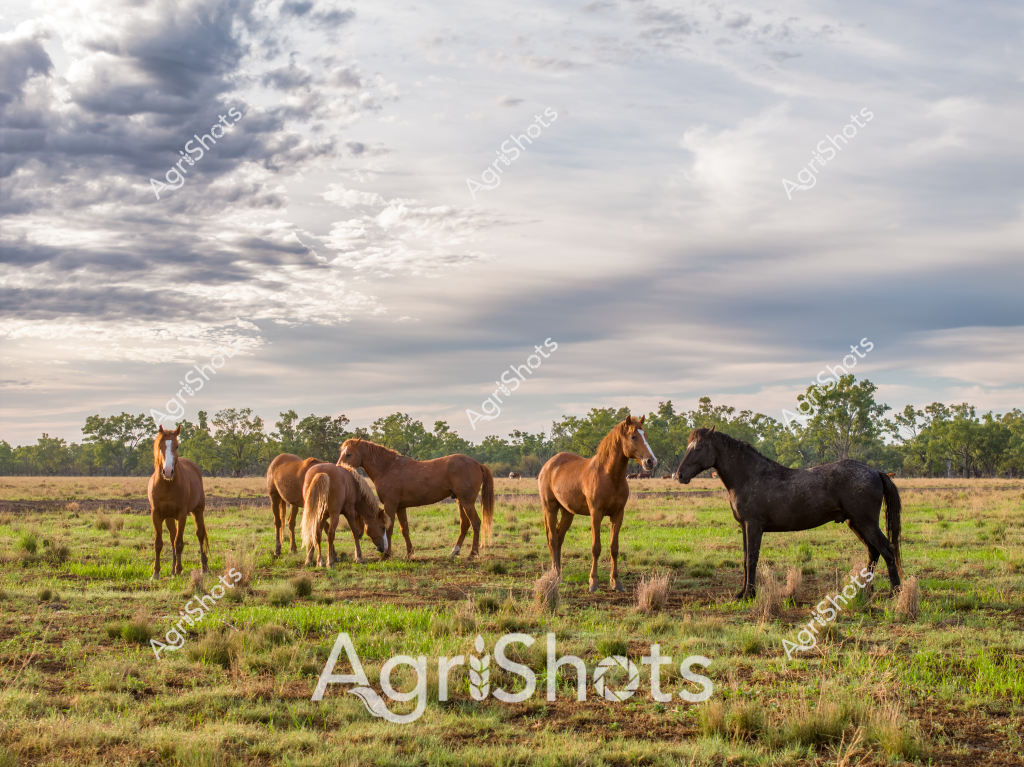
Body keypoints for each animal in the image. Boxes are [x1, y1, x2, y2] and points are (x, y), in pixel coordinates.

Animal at [147, 426, 209, 579]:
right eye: (160, 446)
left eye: (176, 446)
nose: (168, 471)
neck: (167, 485)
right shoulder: (156, 515)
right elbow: (159, 543)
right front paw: (156, 572)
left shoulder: (182, 515)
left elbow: (179, 542)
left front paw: (179, 569)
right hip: (169, 517)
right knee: (172, 537)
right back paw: (172, 570)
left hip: (198, 511)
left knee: (200, 535)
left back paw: (204, 567)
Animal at [337, 439, 494, 559]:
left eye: (348, 454)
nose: (339, 468)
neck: (387, 468)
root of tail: (477, 464)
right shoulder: (400, 507)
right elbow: (404, 530)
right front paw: (409, 554)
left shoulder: (390, 505)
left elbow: (390, 529)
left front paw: (387, 555)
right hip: (460, 501)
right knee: (465, 524)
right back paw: (454, 552)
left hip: (467, 502)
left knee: (476, 523)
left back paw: (472, 554)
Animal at [538, 415, 657, 592]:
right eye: (633, 437)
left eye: (646, 436)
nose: (651, 461)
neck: (609, 476)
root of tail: (548, 465)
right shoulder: (596, 514)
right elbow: (596, 548)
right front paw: (593, 582)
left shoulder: (618, 515)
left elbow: (614, 548)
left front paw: (616, 582)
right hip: (550, 509)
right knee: (553, 539)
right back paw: (554, 576)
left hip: (568, 512)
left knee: (559, 539)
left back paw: (559, 575)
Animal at [675, 426, 903, 599]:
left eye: (698, 448)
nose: (679, 475)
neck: (749, 476)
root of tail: (876, 471)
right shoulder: (744, 527)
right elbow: (745, 559)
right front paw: (741, 593)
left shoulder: (753, 526)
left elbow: (752, 559)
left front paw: (749, 594)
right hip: (855, 523)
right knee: (873, 552)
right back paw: (864, 591)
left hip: (866, 523)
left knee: (886, 550)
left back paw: (895, 592)